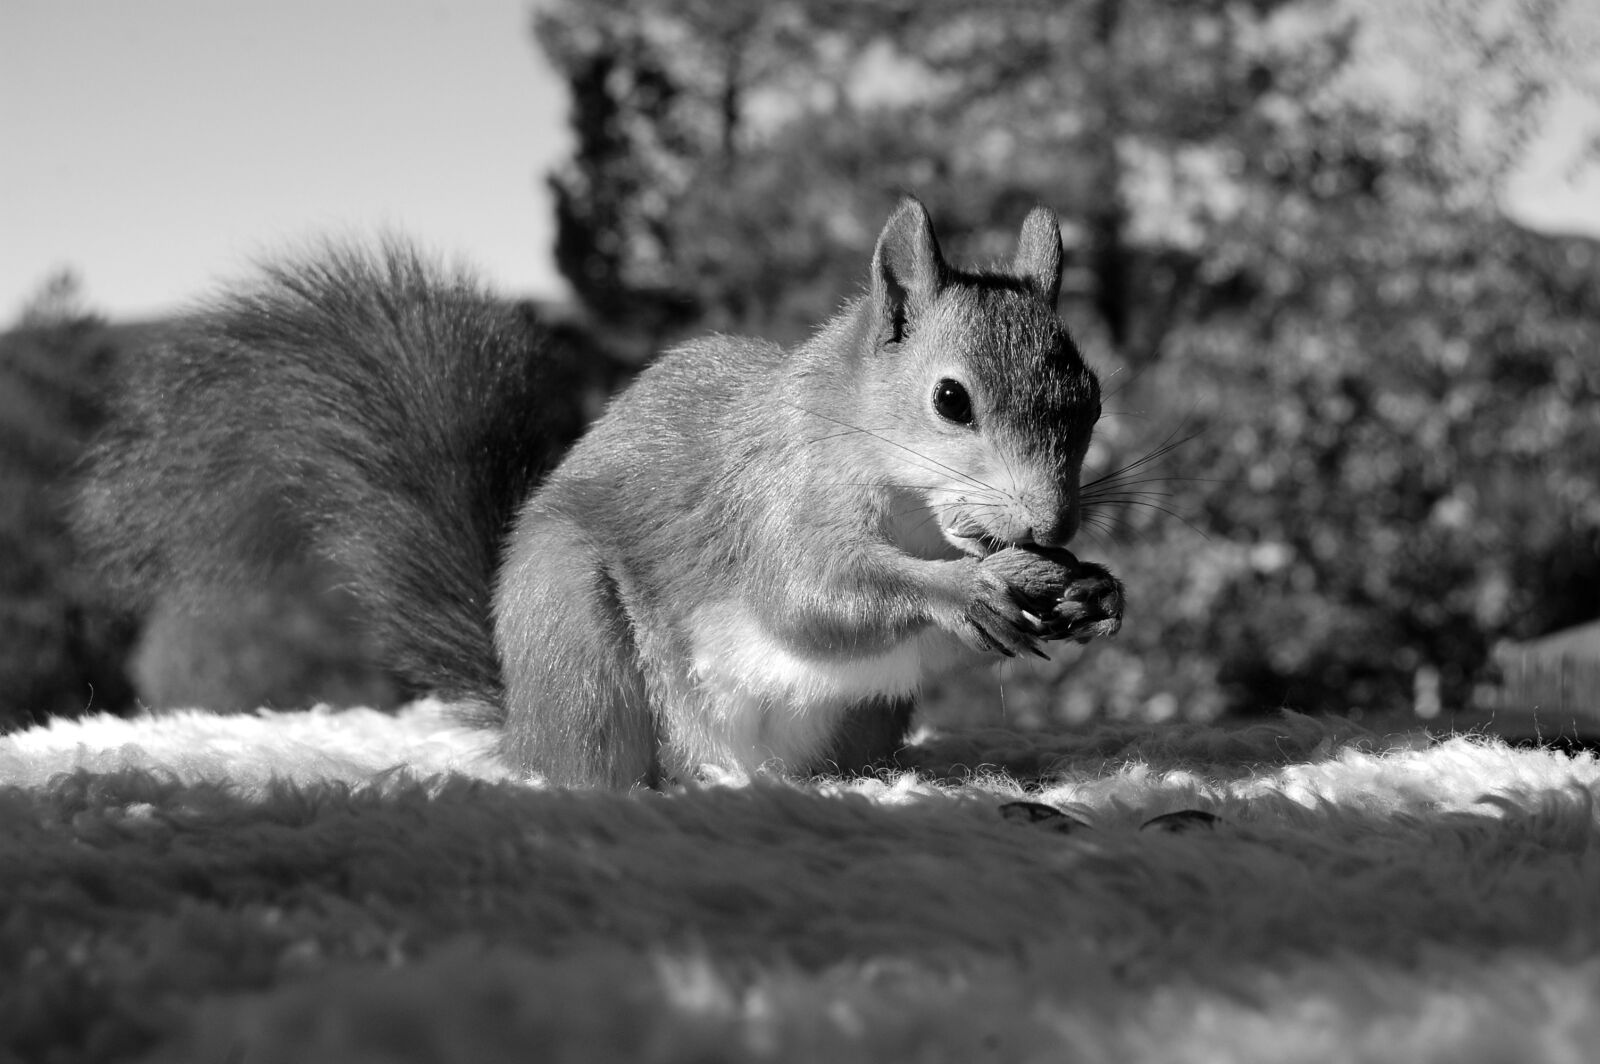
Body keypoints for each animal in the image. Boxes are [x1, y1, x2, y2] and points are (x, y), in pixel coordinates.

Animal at [74, 198, 1124, 787]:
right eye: (950, 400)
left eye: (1093, 396)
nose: (1051, 522)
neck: (912, 507)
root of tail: (520, 717)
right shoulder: (771, 504)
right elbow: (809, 599)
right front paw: (966, 590)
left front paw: (1091, 586)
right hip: (576, 642)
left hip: (862, 713)